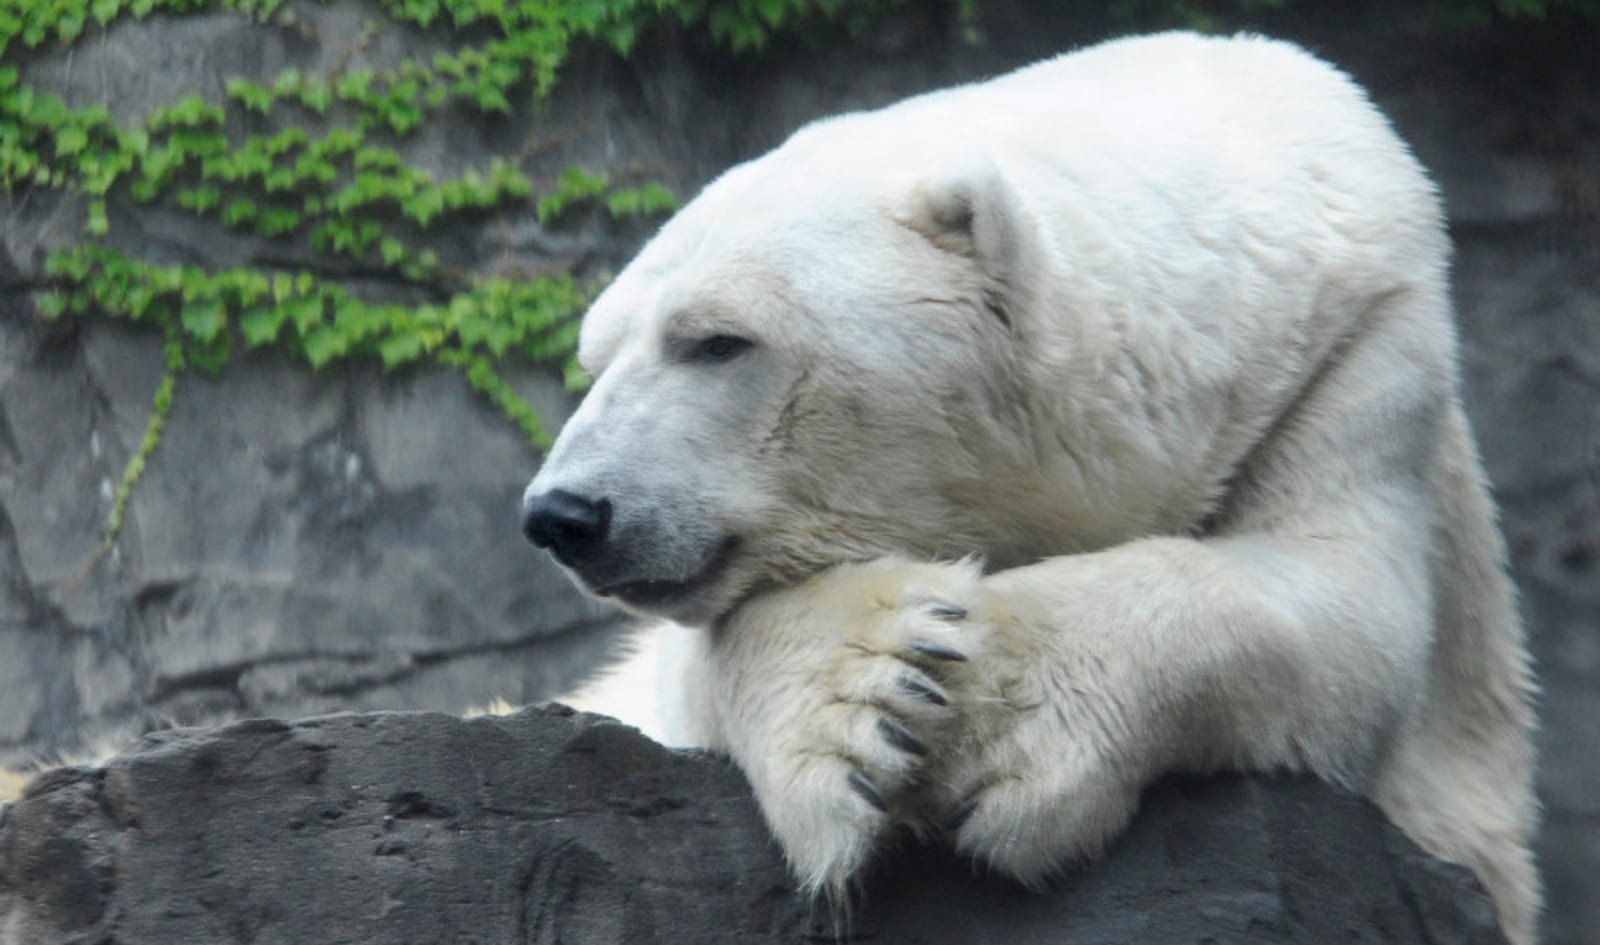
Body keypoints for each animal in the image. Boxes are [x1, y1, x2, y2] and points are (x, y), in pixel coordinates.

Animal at [521, 31, 1539, 944]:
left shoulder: (1353, 353)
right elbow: (703, 663)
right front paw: (876, 696)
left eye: (716, 340)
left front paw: (999, 717)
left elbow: (1347, 614)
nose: (563, 514)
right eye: (597, 358)